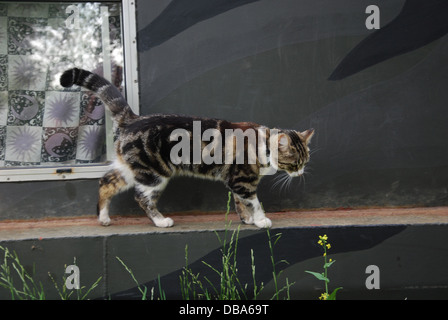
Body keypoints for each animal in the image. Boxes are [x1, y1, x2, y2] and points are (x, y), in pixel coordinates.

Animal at [59, 68, 314, 228]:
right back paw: (161, 221)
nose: (301, 173)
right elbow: (254, 202)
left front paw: (248, 219)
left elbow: (241, 203)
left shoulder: (236, 181)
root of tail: (133, 119)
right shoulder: (243, 180)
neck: (261, 145)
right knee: (142, 198)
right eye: (295, 163)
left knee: (106, 182)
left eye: (305, 162)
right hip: (154, 174)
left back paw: (103, 218)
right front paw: (261, 220)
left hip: (130, 169)